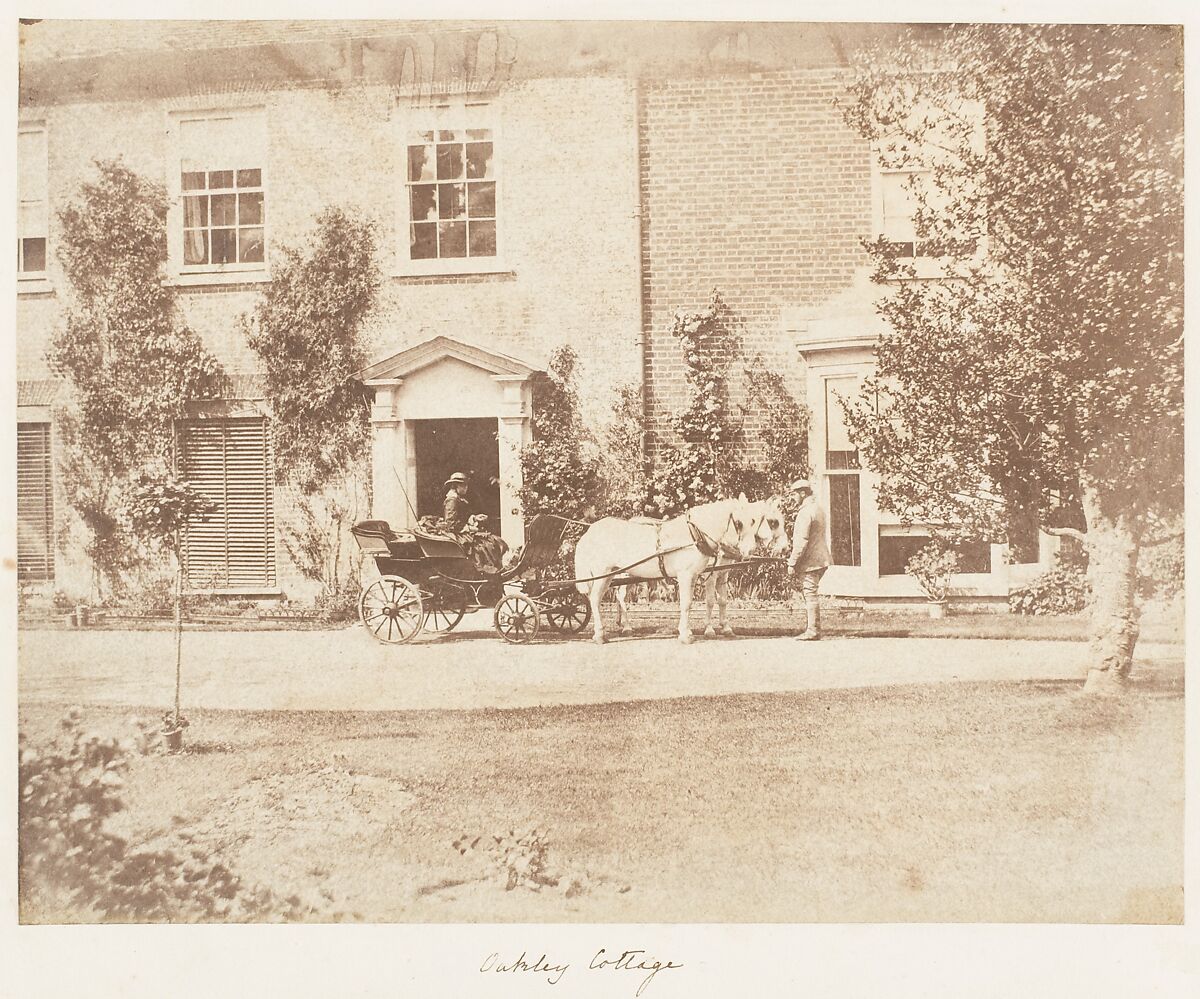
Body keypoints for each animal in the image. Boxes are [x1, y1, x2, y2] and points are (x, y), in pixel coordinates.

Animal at [576, 494, 792, 643]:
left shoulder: (710, 574)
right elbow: (694, 603)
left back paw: (620, 627)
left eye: (754, 521)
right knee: (596, 600)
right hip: (605, 573)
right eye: (773, 522)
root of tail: (590, 530)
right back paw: (601, 634)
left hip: (613, 574)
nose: (786, 548)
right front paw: (694, 634)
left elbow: (715, 601)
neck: (696, 534)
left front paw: (719, 629)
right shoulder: (691, 575)